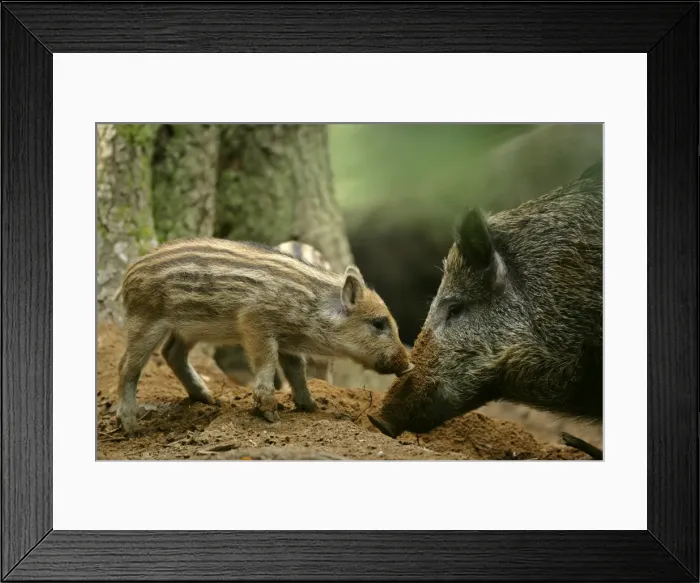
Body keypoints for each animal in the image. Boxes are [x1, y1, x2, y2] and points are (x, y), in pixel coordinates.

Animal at [113, 237, 412, 435]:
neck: (310, 307)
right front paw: (270, 415)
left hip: (188, 329)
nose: (409, 365)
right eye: (378, 323)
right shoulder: (255, 323)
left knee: (172, 353)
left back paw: (208, 399)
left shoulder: (289, 340)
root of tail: (128, 274)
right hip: (146, 319)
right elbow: (267, 362)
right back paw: (130, 427)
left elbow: (296, 368)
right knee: (127, 365)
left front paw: (311, 407)